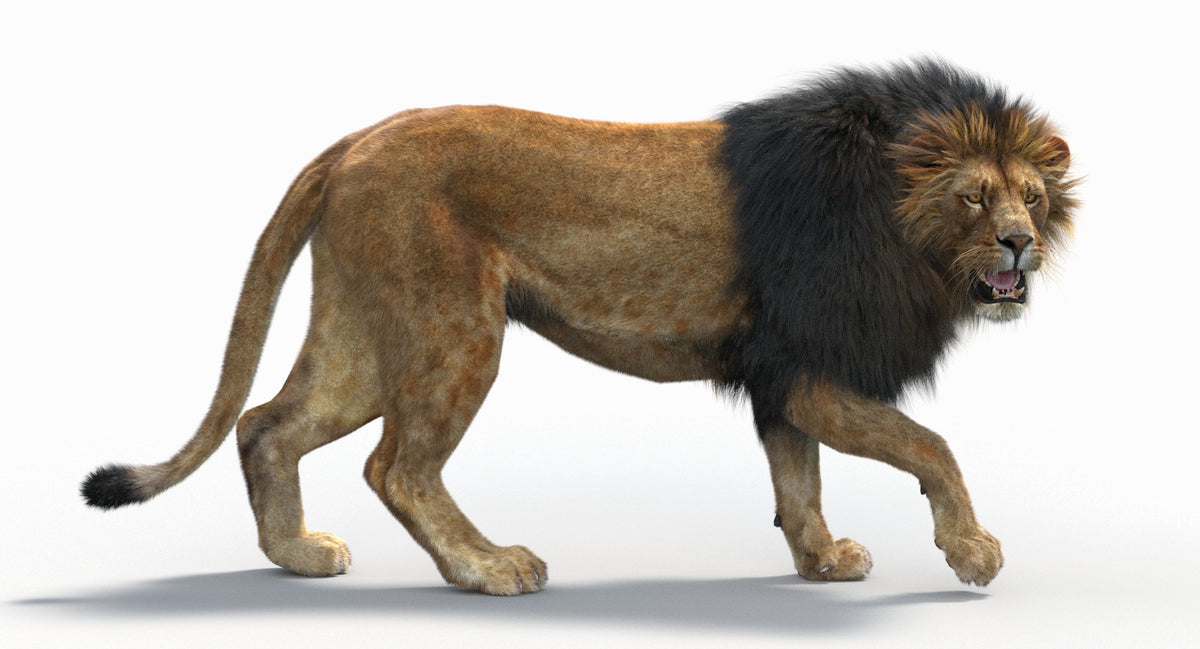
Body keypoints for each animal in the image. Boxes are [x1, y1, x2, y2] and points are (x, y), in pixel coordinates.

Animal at [82, 60, 1078, 595]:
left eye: (1032, 196)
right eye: (975, 197)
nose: (1021, 244)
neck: (897, 216)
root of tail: (358, 140)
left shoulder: (781, 372)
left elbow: (799, 480)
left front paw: (822, 559)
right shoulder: (811, 368)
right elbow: (932, 445)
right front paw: (972, 551)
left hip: (367, 330)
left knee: (268, 425)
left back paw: (296, 554)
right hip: (454, 328)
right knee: (395, 464)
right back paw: (486, 567)